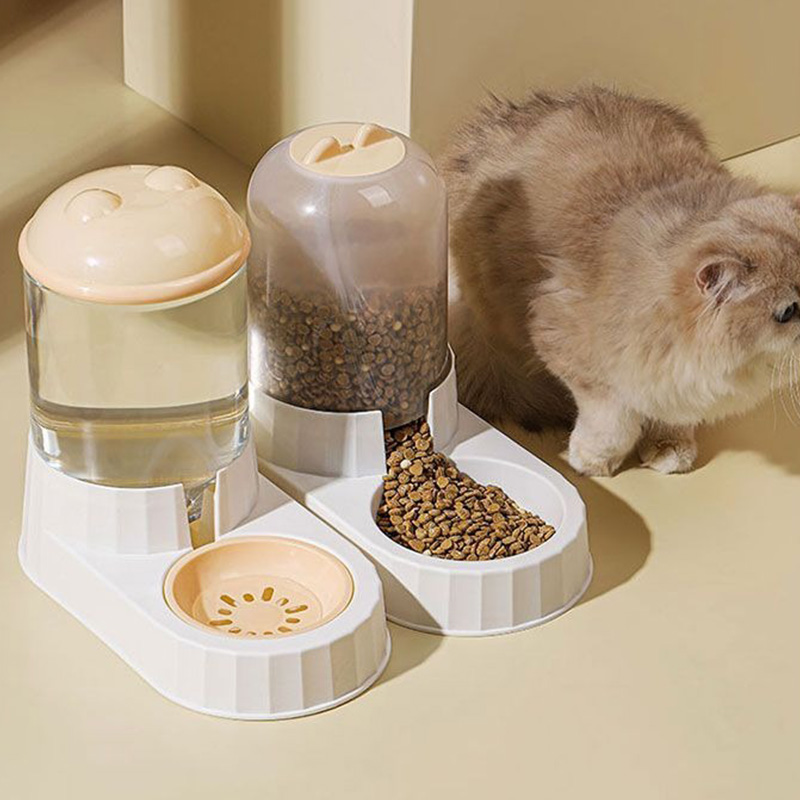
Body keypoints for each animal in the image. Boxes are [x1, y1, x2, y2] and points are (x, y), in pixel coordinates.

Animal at [441, 86, 800, 476]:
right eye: (788, 312)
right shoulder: (574, 358)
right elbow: (612, 423)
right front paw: (594, 461)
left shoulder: (674, 382)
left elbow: (671, 419)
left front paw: (668, 448)